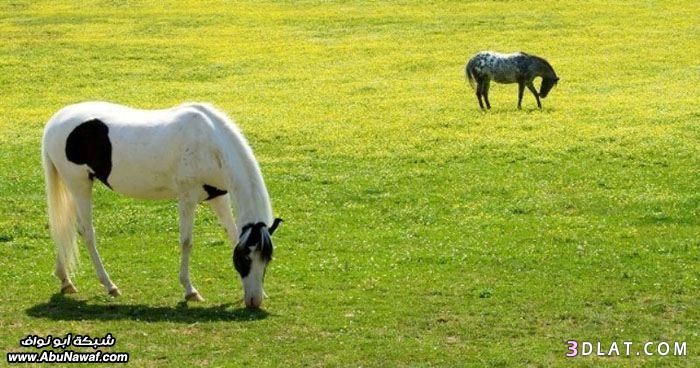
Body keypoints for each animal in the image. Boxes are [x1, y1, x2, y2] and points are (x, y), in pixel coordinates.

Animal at [41, 100, 280, 308]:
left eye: (266, 259)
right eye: (245, 258)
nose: (254, 301)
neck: (210, 142)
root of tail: (55, 121)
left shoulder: (218, 197)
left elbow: (231, 234)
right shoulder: (187, 199)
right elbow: (186, 242)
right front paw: (190, 290)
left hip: (74, 188)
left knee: (66, 228)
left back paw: (66, 280)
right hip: (80, 185)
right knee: (86, 232)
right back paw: (110, 286)